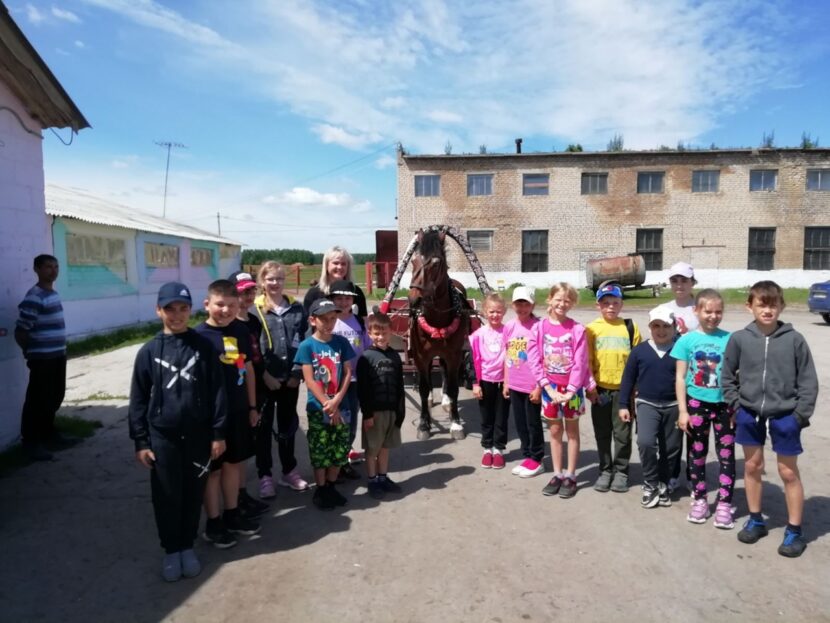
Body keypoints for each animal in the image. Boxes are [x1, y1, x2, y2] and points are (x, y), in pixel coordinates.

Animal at [408, 228, 472, 438]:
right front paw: (424, 424)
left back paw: (445, 401)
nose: (414, 300)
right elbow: (423, 387)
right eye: (413, 261)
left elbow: (453, 387)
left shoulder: (454, 355)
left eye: (436, 263)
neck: (436, 317)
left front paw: (456, 423)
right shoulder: (420, 356)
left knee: (443, 370)